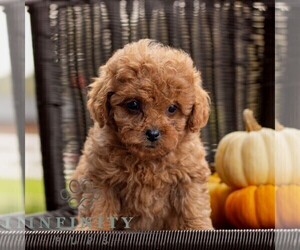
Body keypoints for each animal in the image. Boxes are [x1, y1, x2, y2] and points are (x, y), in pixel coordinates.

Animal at [71, 39, 213, 230]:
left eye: (172, 108)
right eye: (133, 104)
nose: (153, 133)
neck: (147, 159)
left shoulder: (189, 179)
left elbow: (193, 209)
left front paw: (199, 229)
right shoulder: (100, 179)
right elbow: (97, 209)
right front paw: (93, 229)